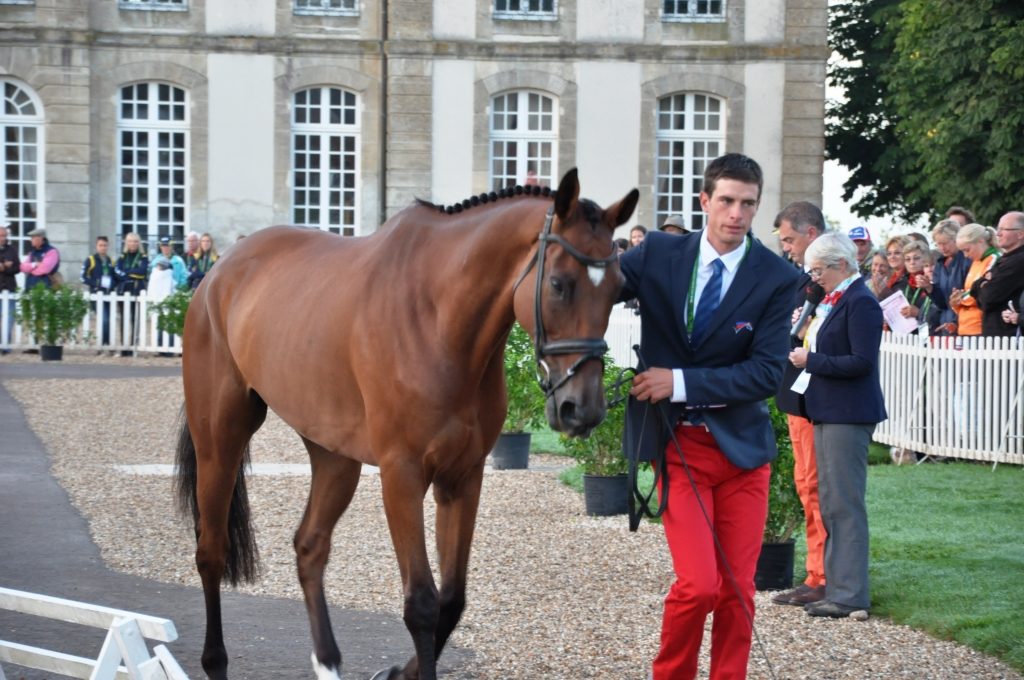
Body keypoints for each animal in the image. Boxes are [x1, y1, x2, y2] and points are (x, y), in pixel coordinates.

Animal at [177, 166, 638, 675]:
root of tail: (220, 270)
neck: (438, 321)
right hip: (221, 440)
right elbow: (421, 603)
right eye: (558, 283)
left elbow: (452, 600)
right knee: (211, 551)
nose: (584, 408)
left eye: (618, 289)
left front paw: (400, 671)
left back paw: (328, 661)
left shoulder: (462, 477)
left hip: (334, 455)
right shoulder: (402, 474)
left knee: (310, 546)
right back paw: (215, 661)